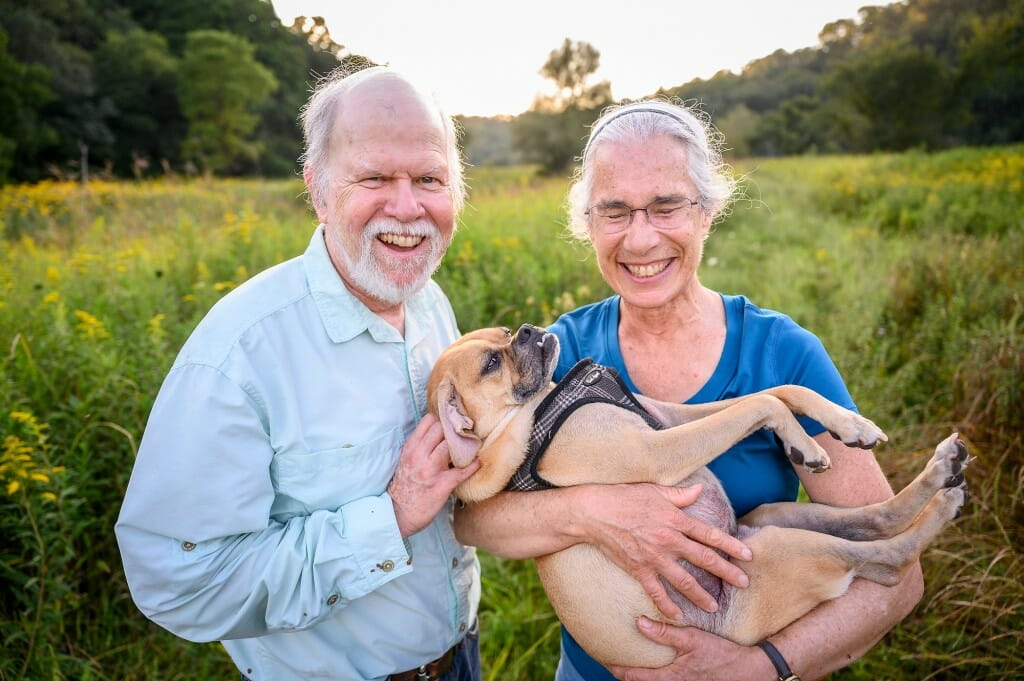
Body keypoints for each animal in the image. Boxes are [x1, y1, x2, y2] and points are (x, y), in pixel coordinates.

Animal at [428, 323, 970, 663]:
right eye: (492, 363)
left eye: (502, 335)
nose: (525, 329)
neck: (538, 410)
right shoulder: (659, 449)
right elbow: (762, 405)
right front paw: (804, 440)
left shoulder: (671, 417)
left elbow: (778, 393)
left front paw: (844, 425)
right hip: (781, 550)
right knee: (890, 558)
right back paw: (942, 501)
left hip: (772, 518)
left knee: (874, 519)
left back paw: (941, 470)